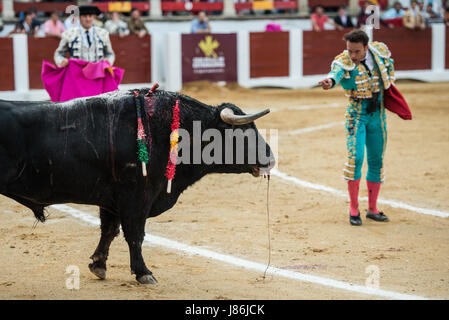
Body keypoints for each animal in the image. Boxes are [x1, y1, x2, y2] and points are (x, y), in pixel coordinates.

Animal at [0, 89, 272, 284]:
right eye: (243, 134)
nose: (270, 158)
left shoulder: (111, 200)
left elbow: (109, 231)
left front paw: (98, 265)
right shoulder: (137, 197)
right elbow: (135, 235)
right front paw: (144, 272)